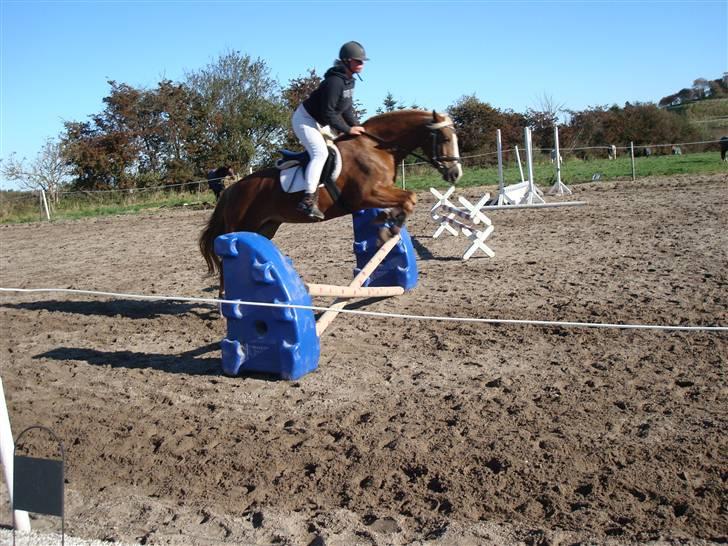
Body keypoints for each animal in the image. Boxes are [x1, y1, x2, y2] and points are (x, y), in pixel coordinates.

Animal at [199, 108, 460, 292]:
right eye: (445, 139)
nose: (455, 173)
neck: (377, 147)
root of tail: (232, 189)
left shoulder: (378, 194)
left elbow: (406, 200)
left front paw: (387, 221)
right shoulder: (367, 194)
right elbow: (409, 198)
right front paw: (389, 228)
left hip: (265, 227)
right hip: (240, 227)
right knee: (225, 261)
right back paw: (224, 302)